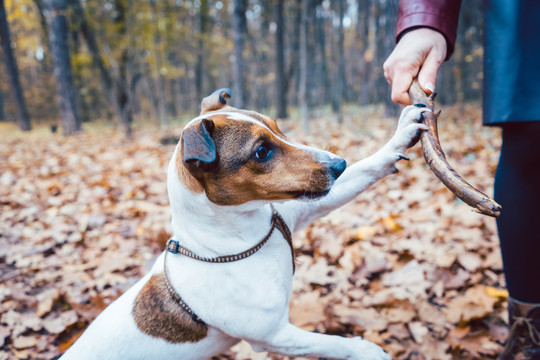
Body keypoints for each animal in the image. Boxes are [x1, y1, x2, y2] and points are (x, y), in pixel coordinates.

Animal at [61, 88, 428, 360]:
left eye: (276, 126)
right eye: (262, 151)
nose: (338, 164)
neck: (240, 241)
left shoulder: (301, 208)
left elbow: (369, 168)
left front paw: (400, 135)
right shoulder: (274, 335)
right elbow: (334, 343)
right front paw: (366, 350)